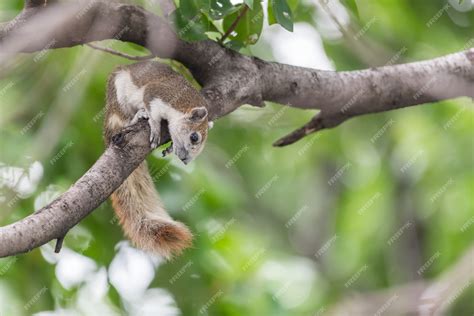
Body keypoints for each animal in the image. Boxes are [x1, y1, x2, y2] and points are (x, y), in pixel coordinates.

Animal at [103, 61, 211, 260]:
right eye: (194, 137)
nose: (185, 160)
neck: (184, 104)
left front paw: (170, 147)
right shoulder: (157, 93)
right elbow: (151, 107)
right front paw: (153, 124)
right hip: (119, 93)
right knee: (124, 115)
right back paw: (137, 116)